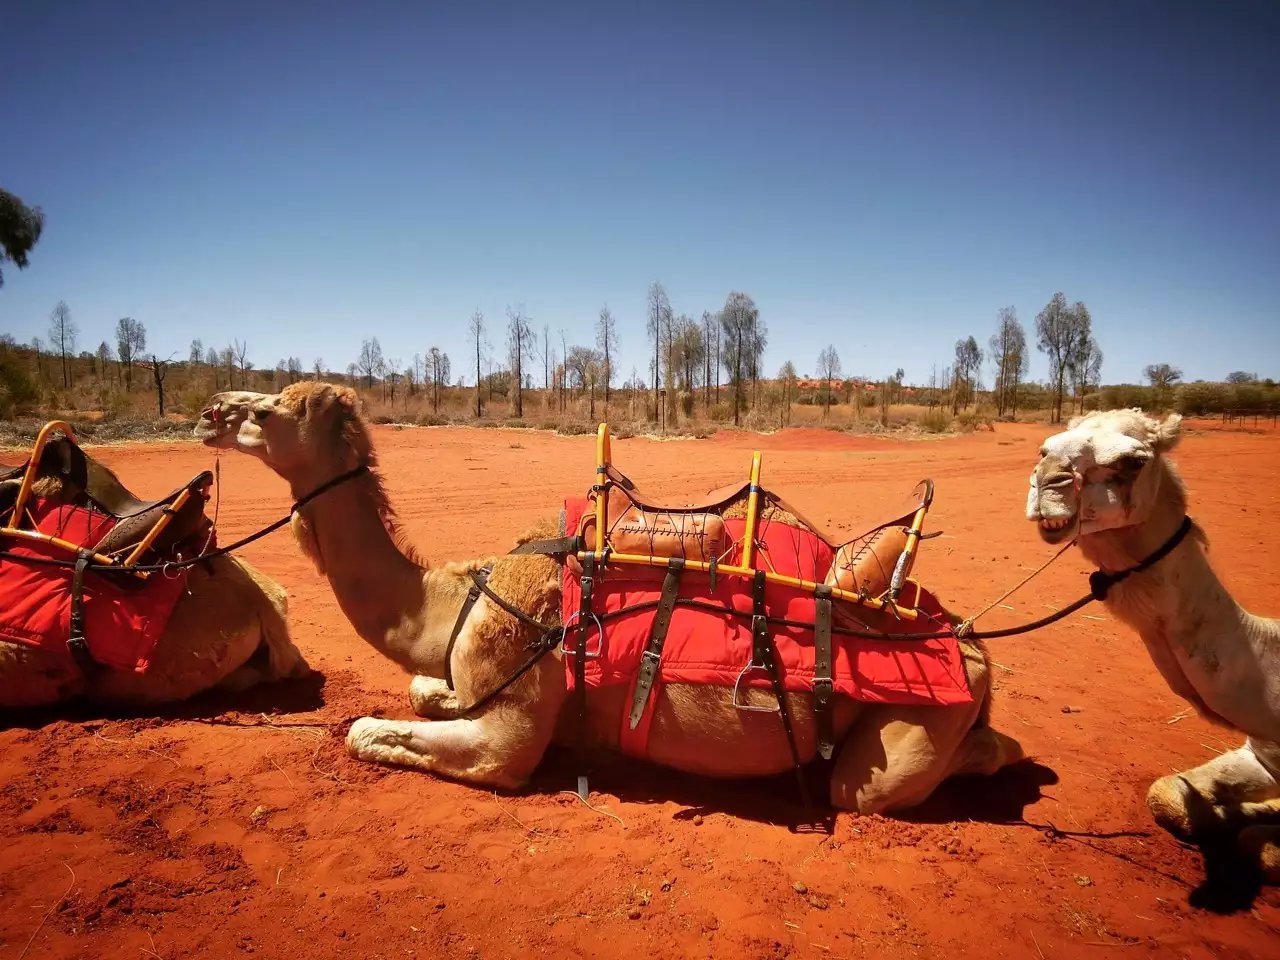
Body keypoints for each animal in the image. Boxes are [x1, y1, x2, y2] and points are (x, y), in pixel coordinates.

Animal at [194, 384, 1024, 814]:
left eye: (267, 409)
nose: (209, 411)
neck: (456, 597)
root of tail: (975, 648)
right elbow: (423, 691)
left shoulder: (511, 728)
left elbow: (370, 731)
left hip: (900, 742)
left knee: (891, 779)